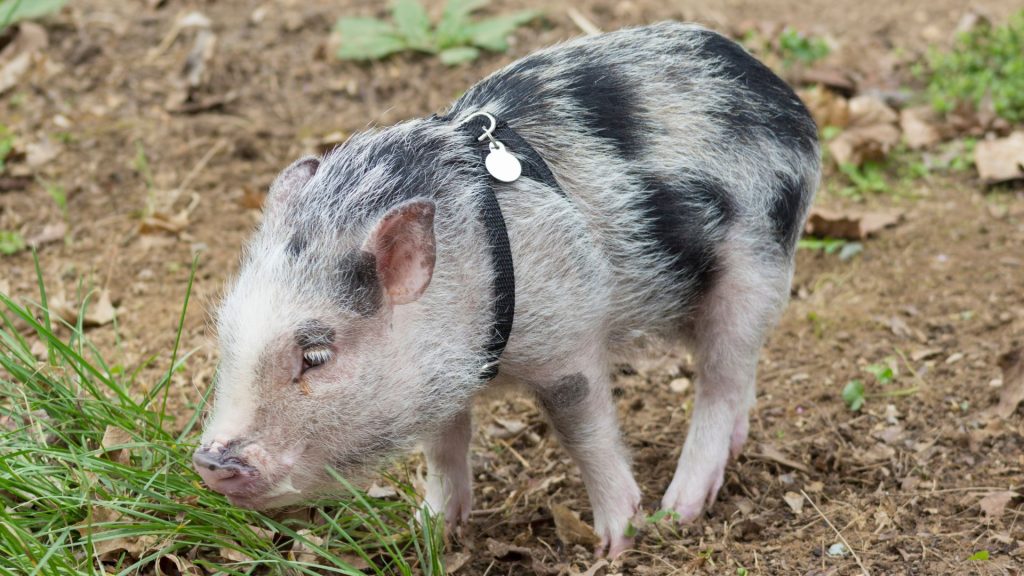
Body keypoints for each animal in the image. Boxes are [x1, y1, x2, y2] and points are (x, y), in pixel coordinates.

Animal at [193, 21, 819, 558]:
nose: (209, 461)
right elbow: (444, 445)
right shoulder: (439, 377)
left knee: (721, 377)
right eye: (226, 338)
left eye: (317, 355)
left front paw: (615, 543)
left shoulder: (567, 340)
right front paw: (426, 531)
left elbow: (583, 428)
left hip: (757, 264)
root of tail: (781, 93)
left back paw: (680, 511)